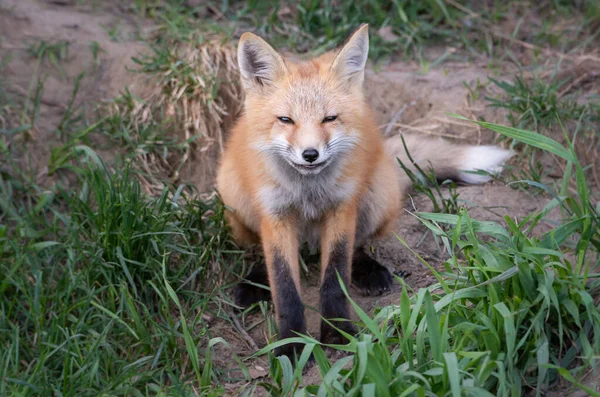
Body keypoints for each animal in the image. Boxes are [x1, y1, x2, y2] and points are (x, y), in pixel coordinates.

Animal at [216, 24, 510, 358]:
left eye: (329, 118)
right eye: (286, 120)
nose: (310, 154)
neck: (308, 192)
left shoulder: (342, 207)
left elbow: (335, 275)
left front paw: (337, 332)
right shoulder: (275, 214)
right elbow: (284, 285)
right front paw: (291, 344)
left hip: (377, 195)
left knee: (358, 246)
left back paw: (368, 270)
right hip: (236, 198)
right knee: (257, 249)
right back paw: (255, 281)